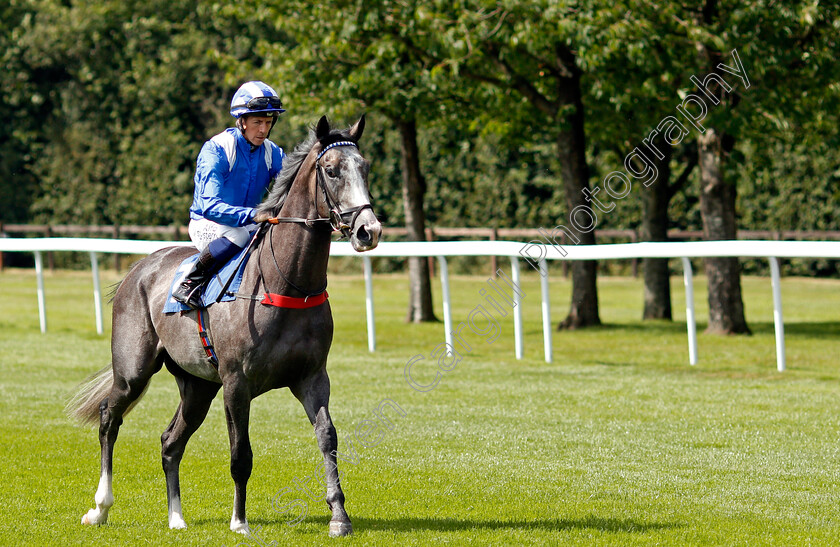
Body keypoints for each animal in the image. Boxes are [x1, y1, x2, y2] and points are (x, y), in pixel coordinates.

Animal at [67, 115, 382, 540]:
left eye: (365, 167)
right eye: (332, 170)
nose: (369, 230)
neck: (285, 284)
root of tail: (139, 269)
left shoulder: (313, 377)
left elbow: (327, 437)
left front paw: (339, 516)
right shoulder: (237, 383)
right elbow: (240, 454)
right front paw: (240, 522)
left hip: (198, 386)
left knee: (170, 441)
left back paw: (177, 517)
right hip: (133, 371)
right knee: (108, 418)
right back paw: (100, 508)